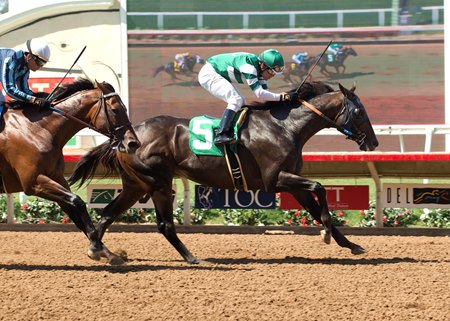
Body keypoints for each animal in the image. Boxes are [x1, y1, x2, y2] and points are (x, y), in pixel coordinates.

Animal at [0, 79, 141, 264]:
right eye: (116, 109)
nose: (133, 143)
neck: (37, 129)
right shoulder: (33, 182)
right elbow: (78, 201)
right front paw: (97, 247)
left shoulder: (56, 178)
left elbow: (75, 212)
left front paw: (106, 252)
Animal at [68, 81, 378, 264]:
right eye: (359, 112)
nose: (374, 143)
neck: (284, 127)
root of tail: (125, 136)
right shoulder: (275, 180)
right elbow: (320, 188)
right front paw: (326, 233)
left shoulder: (292, 183)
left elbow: (317, 205)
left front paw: (351, 244)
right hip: (157, 183)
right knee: (164, 225)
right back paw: (192, 258)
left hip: (136, 185)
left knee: (108, 213)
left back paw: (100, 250)